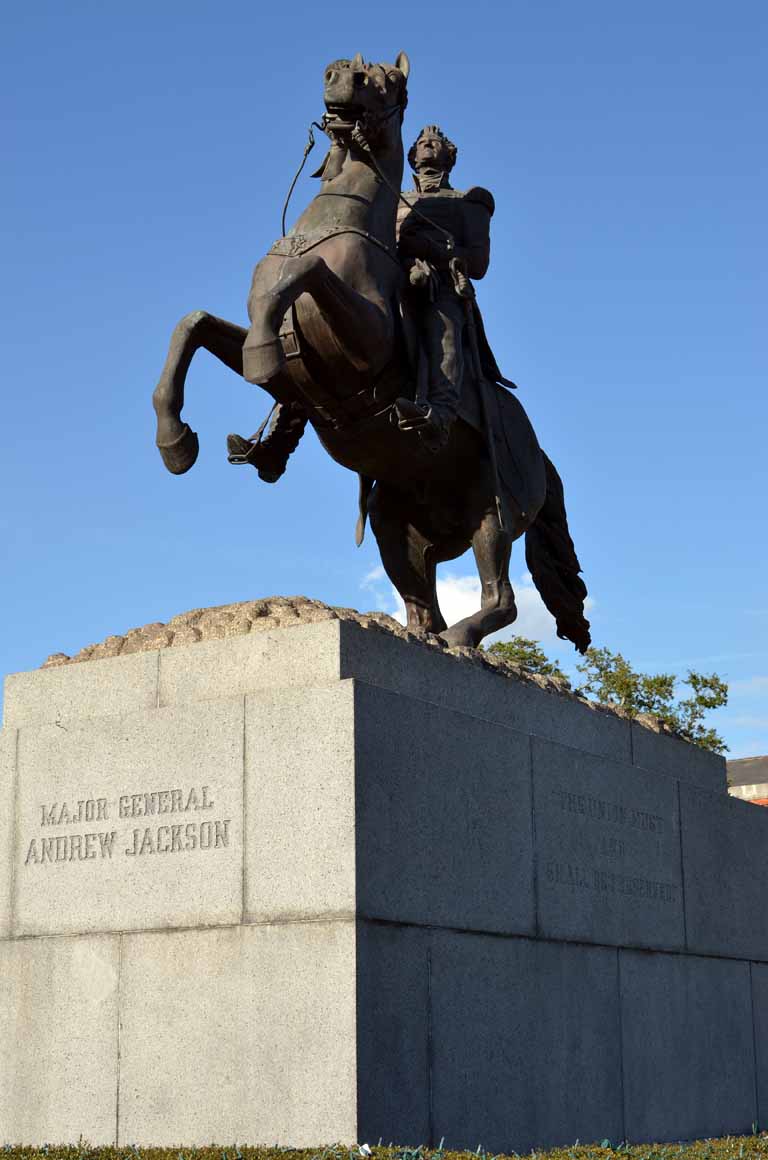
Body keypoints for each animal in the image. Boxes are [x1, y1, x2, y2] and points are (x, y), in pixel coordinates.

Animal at [151, 52, 593, 654]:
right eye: (352, 70)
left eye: (389, 80)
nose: (337, 73)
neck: (339, 221)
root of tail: (540, 455)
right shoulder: (291, 376)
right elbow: (192, 325)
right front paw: (176, 442)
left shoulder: (362, 347)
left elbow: (303, 273)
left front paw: (263, 352)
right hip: (393, 524)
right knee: (422, 604)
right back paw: (425, 637)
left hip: (493, 512)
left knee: (500, 597)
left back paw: (461, 635)